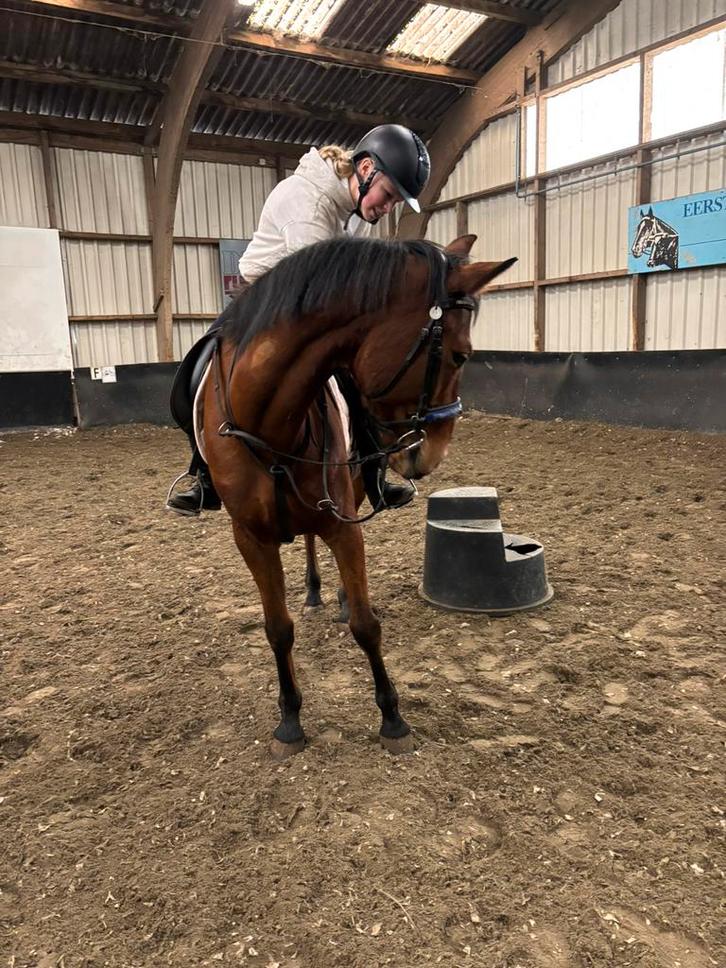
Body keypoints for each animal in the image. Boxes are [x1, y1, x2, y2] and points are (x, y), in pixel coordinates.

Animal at [201, 233, 515, 758]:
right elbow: (277, 629)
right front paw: (289, 721)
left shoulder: (342, 523)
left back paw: (339, 596)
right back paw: (312, 590)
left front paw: (393, 718)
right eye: (460, 355)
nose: (434, 454)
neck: (269, 425)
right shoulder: (250, 538)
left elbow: (366, 625)